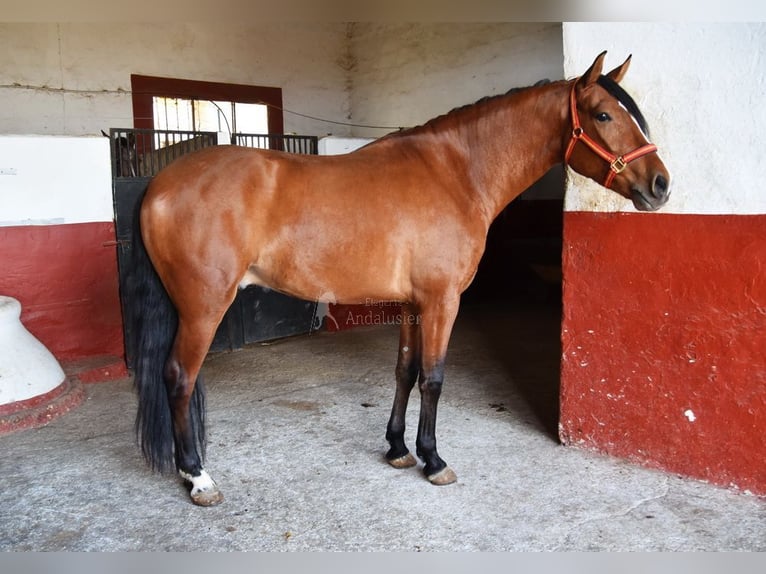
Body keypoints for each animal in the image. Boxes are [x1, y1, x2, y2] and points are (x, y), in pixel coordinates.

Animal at [127, 52, 671, 506]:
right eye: (603, 115)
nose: (661, 185)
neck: (456, 173)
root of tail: (161, 183)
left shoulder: (412, 303)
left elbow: (405, 372)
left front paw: (397, 448)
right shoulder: (442, 301)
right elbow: (433, 377)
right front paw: (433, 459)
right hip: (203, 308)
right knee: (179, 378)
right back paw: (197, 477)